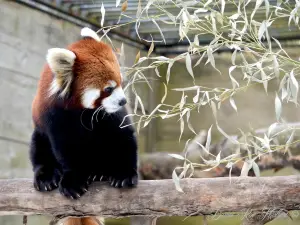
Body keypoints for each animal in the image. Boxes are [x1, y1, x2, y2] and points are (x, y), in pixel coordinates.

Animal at [29, 27, 138, 225]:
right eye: (108, 89)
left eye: (121, 82)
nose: (123, 101)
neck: (81, 111)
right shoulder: (55, 116)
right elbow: (65, 148)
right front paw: (74, 181)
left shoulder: (110, 115)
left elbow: (122, 136)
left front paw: (124, 173)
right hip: (39, 132)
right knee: (38, 146)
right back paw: (46, 176)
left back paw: (99, 172)